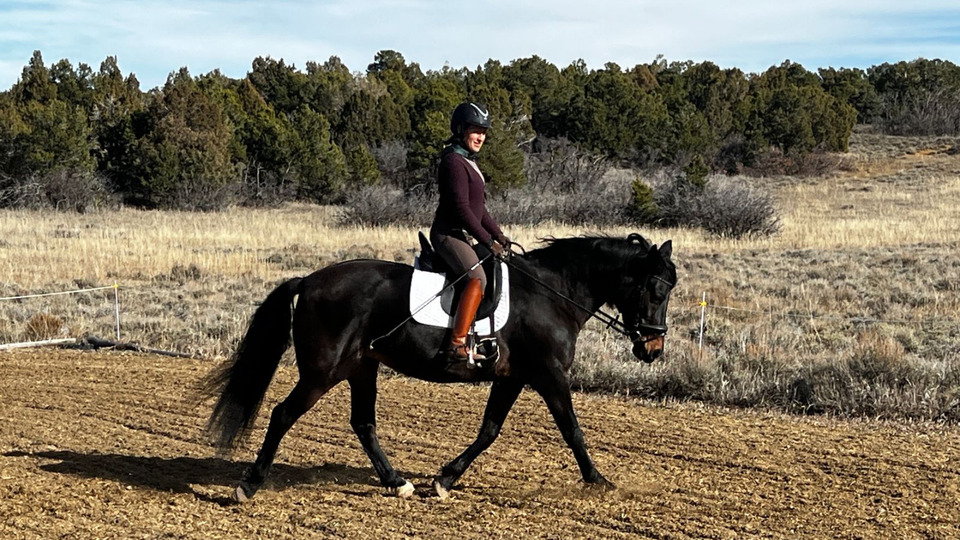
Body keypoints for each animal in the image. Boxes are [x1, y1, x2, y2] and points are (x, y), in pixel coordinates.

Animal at [202, 233, 677, 502]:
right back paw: (248, 485)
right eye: (655, 290)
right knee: (283, 414)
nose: (653, 349)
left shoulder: (513, 377)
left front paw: (446, 478)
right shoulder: (549, 375)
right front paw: (599, 480)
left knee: (363, 424)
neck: (553, 293)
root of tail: (310, 279)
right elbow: (572, 430)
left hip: (361, 367)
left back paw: (397, 482)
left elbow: (489, 430)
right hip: (323, 373)